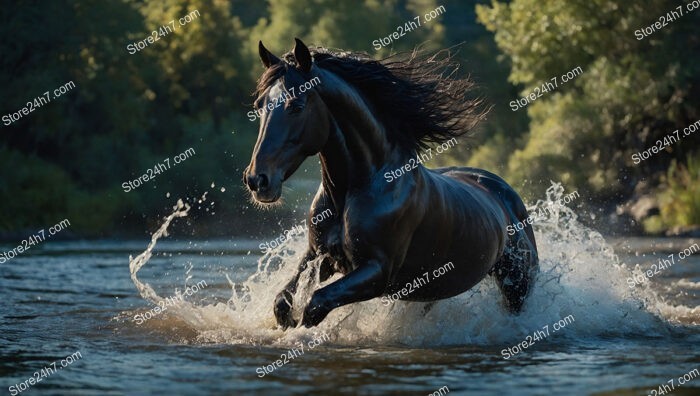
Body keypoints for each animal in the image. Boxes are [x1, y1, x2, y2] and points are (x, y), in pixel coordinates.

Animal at [246, 38, 540, 328]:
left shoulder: (377, 271)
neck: (358, 188)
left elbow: (314, 304)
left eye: (296, 105)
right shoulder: (317, 256)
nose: (257, 180)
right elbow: (283, 303)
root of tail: (506, 193)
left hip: (516, 284)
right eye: (259, 106)